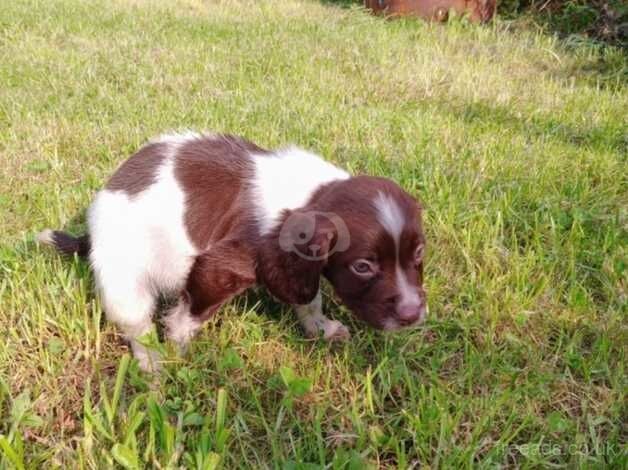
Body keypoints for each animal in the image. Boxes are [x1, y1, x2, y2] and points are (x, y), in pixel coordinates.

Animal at [39, 132, 430, 370]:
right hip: (123, 274)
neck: (313, 194)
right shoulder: (225, 261)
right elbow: (190, 314)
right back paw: (153, 364)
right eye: (363, 266)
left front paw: (321, 328)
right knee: (137, 324)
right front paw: (179, 349)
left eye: (418, 254)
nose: (413, 315)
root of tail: (91, 223)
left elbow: (309, 295)